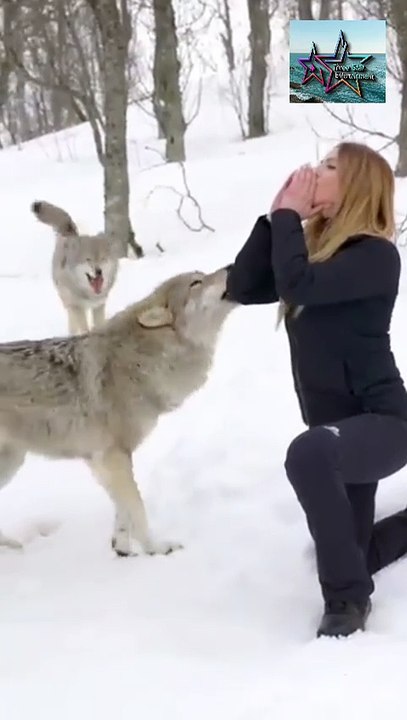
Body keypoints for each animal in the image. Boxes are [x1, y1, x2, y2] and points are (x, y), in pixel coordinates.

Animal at [0, 267, 235, 556]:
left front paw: (122, 548)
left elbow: (122, 510)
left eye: (201, 275)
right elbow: (137, 508)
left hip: (12, 461)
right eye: (196, 283)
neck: (144, 359)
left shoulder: (101, 460)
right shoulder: (114, 455)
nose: (231, 267)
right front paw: (156, 549)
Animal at [31, 200, 119, 334]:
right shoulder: (76, 306)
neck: (89, 293)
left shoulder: (99, 305)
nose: (98, 271)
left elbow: (99, 325)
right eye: (88, 259)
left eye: (103, 259)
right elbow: (84, 328)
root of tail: (71, 234)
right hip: (67, 303)